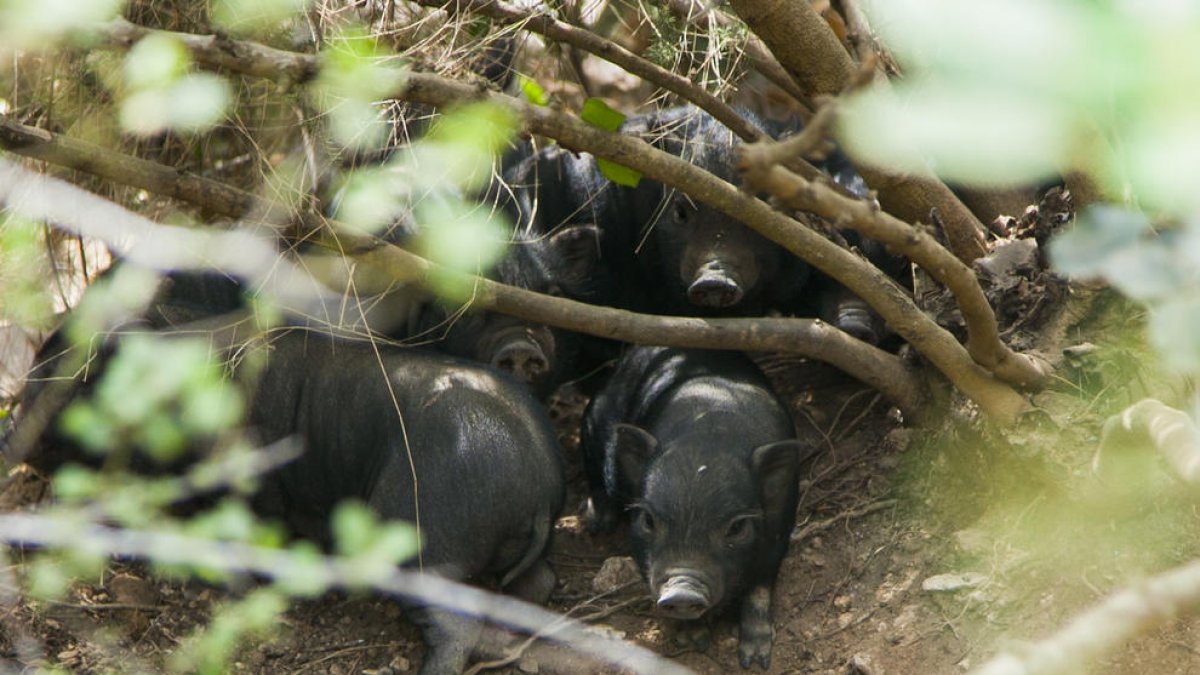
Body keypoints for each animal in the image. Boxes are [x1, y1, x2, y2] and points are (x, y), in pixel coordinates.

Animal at [580, 345, 816, 667]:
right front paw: (695, 641)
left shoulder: (781, 526)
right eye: (648, 520)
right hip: (595, 419)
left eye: (737, 527)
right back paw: (597, 521)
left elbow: (760, 585)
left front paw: (755, 661)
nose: (682, 592)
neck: (710, 435)